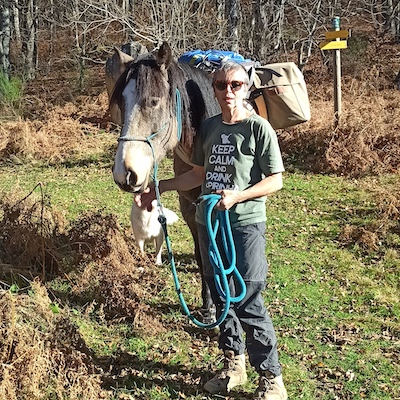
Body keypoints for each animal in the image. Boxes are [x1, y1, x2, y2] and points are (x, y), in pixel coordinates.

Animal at [109, 41, 220, 322]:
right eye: (121, 103)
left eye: (154, 101)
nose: (125, 174)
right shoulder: (189, 205)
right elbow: (202, 254)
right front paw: (208, 305)